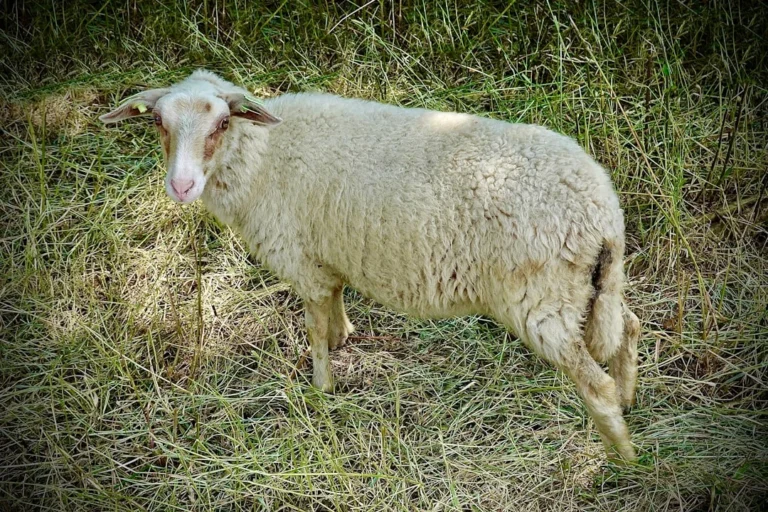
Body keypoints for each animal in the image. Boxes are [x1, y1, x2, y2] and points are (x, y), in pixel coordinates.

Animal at [100, 70, 641, 461]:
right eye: (159, 123)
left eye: (221, 124)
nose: (181, 186)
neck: (262, 156)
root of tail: (601, 212)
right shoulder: (326, 254)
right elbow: (335, 302)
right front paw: (344, 336)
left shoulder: (302, 260)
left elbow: (314, 330)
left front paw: (321, 390)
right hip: (596, 288)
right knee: (629, 327)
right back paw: (631, 399)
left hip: (540, 300)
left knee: (594, 383)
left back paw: (623, 459)